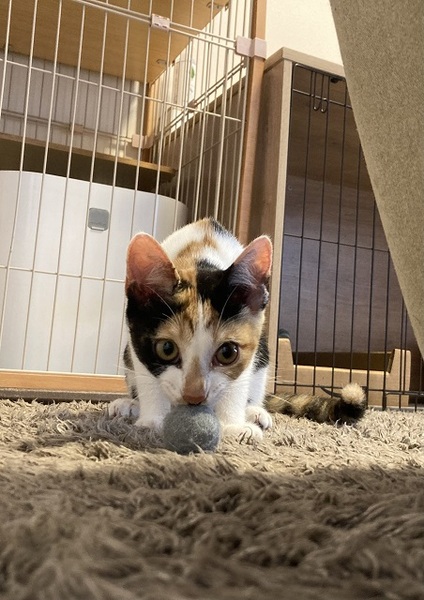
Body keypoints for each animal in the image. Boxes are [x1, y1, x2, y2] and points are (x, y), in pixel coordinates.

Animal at [108, 217, 366, 442]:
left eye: (227, 353)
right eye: (166, 349)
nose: (194, 397)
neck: (198, 257)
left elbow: (237, 381)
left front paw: (232, 425)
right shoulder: (135, 337)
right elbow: (148, 377)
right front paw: (152, 422)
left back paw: (254, 412)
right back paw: (129, 405)